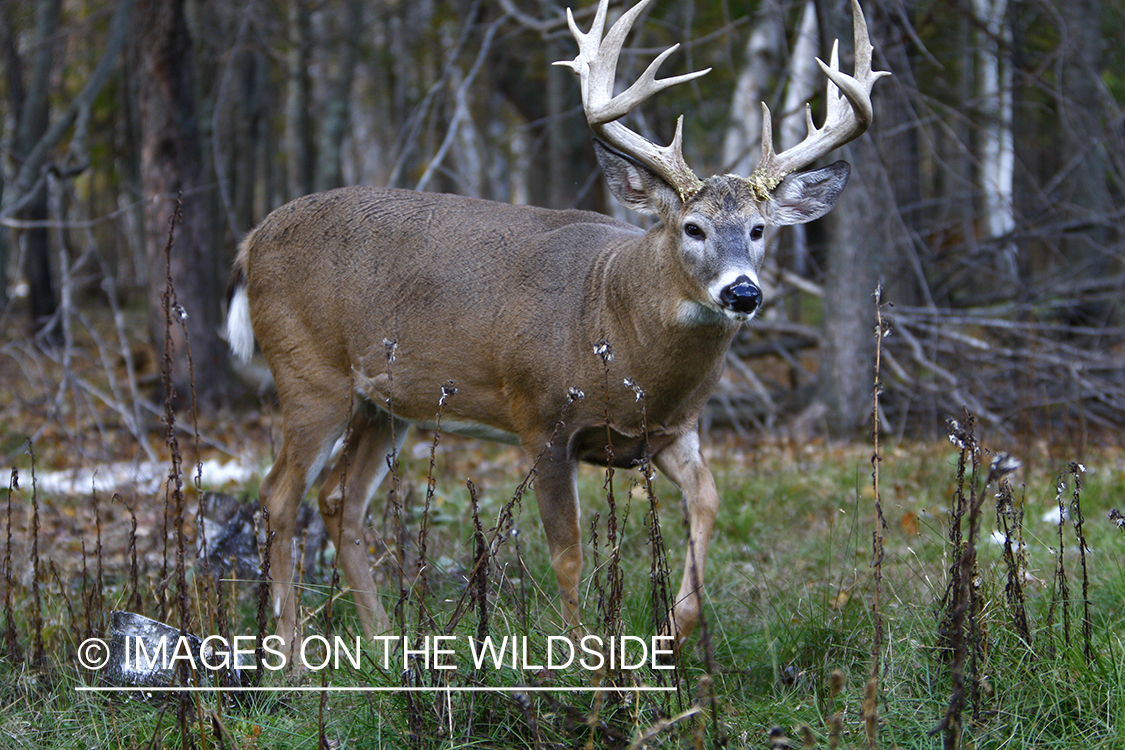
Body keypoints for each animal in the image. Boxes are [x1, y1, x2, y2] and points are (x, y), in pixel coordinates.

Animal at [223, 0, 882, 661]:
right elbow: (567, 557)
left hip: (386, 403)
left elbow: (708, 504)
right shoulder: (542, 419)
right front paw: (585, 663)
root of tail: (250, 241)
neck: (618, 329)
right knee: (277, 496)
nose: (743, 292)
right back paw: (290, 654)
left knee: (340, 501)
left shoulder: (671, 431)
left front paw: (669, 637)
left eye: (759, 229)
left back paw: (386, 644)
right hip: (310, 374)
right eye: (692, 227)